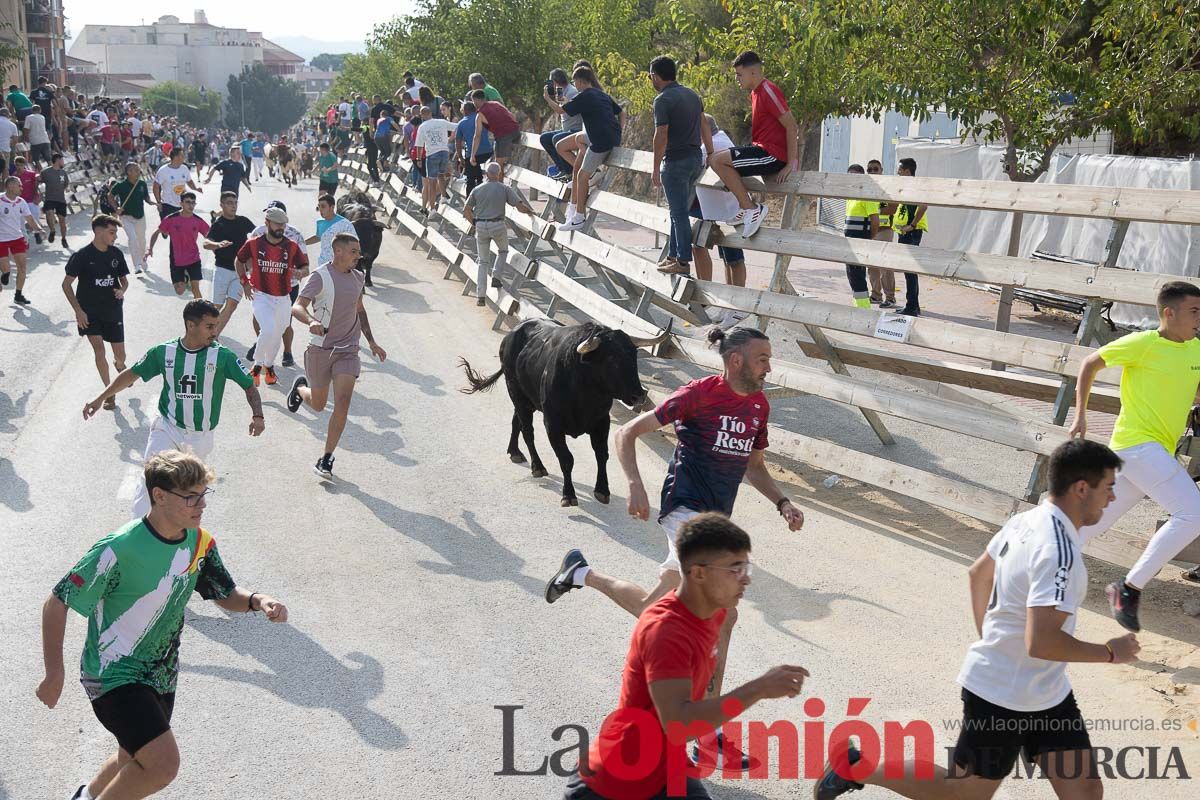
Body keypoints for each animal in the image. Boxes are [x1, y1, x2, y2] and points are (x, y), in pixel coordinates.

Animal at [458, 321, 667, 503]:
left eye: (634, 356)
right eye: (611, 359)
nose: (639, 395)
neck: (584, 392)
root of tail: (513, 333)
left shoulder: (601, 422)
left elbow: (602, 454)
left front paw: (602, 490)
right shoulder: (553, 424)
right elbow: (566, 459)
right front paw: (568, 495)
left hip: (526, 400)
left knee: (516, 421)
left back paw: (514, 451)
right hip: (515, 392)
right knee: (527, 431)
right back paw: (537, 466)